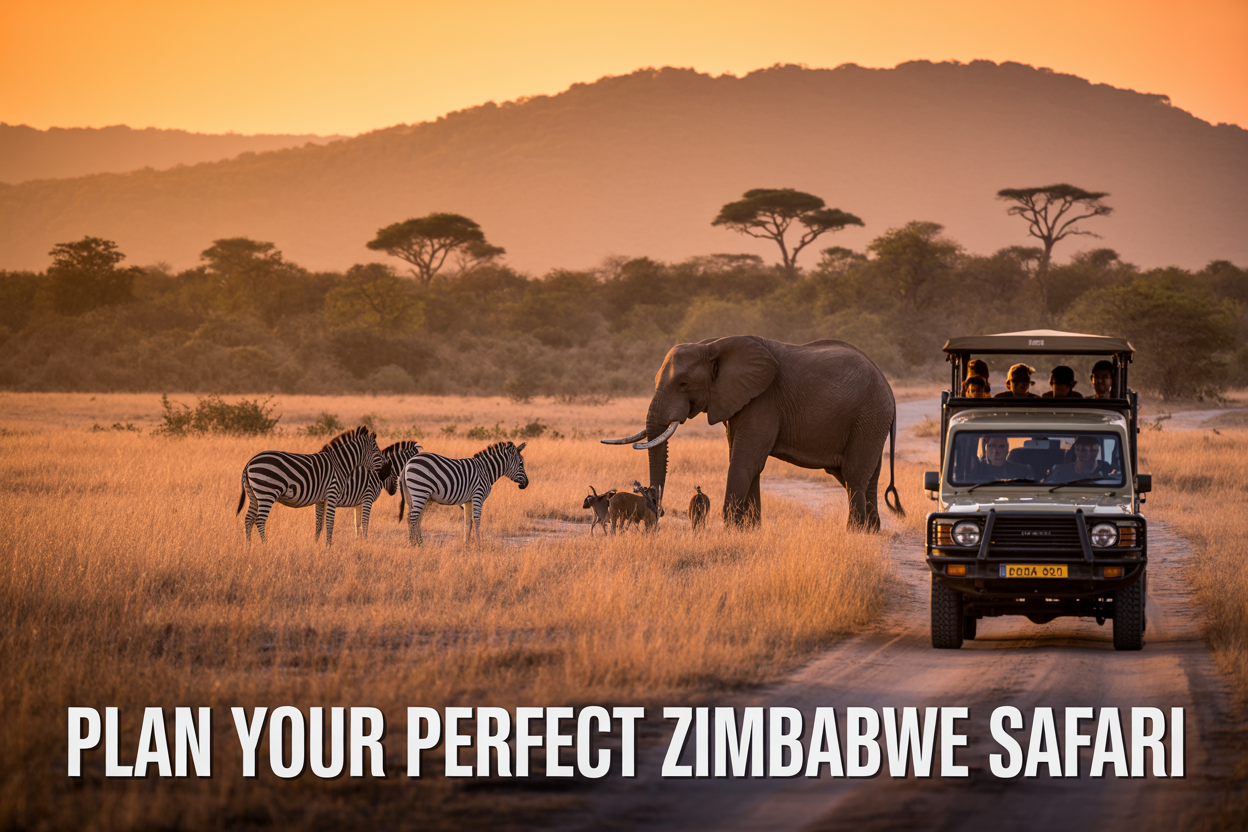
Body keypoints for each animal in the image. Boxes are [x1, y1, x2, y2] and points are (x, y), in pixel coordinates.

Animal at [236, 425, 388, 546]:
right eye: (377, 451)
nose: (385, 472)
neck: (340, 464)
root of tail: (249, 463)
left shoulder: (321, 499)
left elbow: (319, 524)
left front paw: (316, 545)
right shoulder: (332, 494)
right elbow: (330, 522)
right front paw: (328, 546)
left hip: (254, 495)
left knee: (248, 519)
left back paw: (248, 547)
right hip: (267, 492)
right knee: (260, 520)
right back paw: (264, 546)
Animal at [400, 440, 529, 545]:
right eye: (521, 464)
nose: (526, 484)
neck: (486, 471)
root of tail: (407, 463)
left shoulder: (468, 500)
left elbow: (468, 522)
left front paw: (466, 545)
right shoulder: (478, 495)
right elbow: (477, 520)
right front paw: (478, 544)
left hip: (417, 495)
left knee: (414, 517)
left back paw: (419, 543)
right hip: (420, 490)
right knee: (412, 517)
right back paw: (413, 544)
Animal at [602, 335, 903, 530]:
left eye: (684, 384)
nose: (659, 510)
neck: (711, 345)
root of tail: (888, 387)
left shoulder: (764, 399)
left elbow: (744, 461)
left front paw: (731, 528)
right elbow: (750, 463)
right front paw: (749, 530)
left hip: (869, 415)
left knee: (854, 474)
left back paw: (855, 532)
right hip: (870, 420)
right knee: (860, 475)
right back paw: (872, 530)